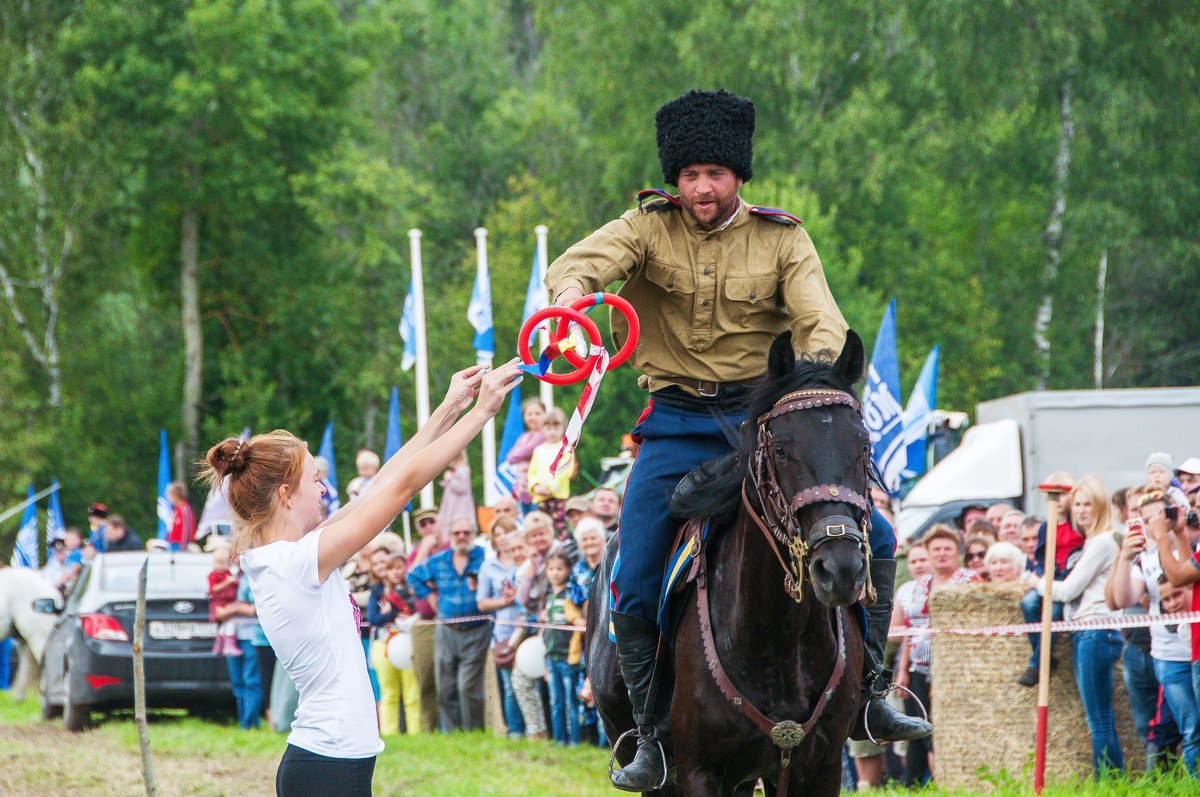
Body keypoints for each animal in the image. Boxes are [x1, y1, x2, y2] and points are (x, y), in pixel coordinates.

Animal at [590, 328, 873, 797]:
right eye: (781, 448)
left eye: (864, 445)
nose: (840, 570)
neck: (778, 637)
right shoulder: (700, 770)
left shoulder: (820, 767)